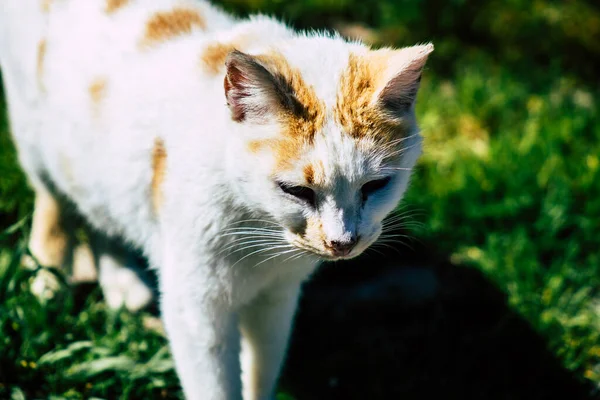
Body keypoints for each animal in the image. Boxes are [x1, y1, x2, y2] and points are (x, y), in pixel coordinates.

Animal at [0, 0, 432, 400]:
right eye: (297, 191)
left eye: (375, 186)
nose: (342, 242)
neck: (257, 228)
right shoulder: (197, 309)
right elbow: (215, 385)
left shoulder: (276, 299)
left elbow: (260, 371)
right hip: (35, 142)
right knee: (55, 207)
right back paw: (48, 282)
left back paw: (121, 281)